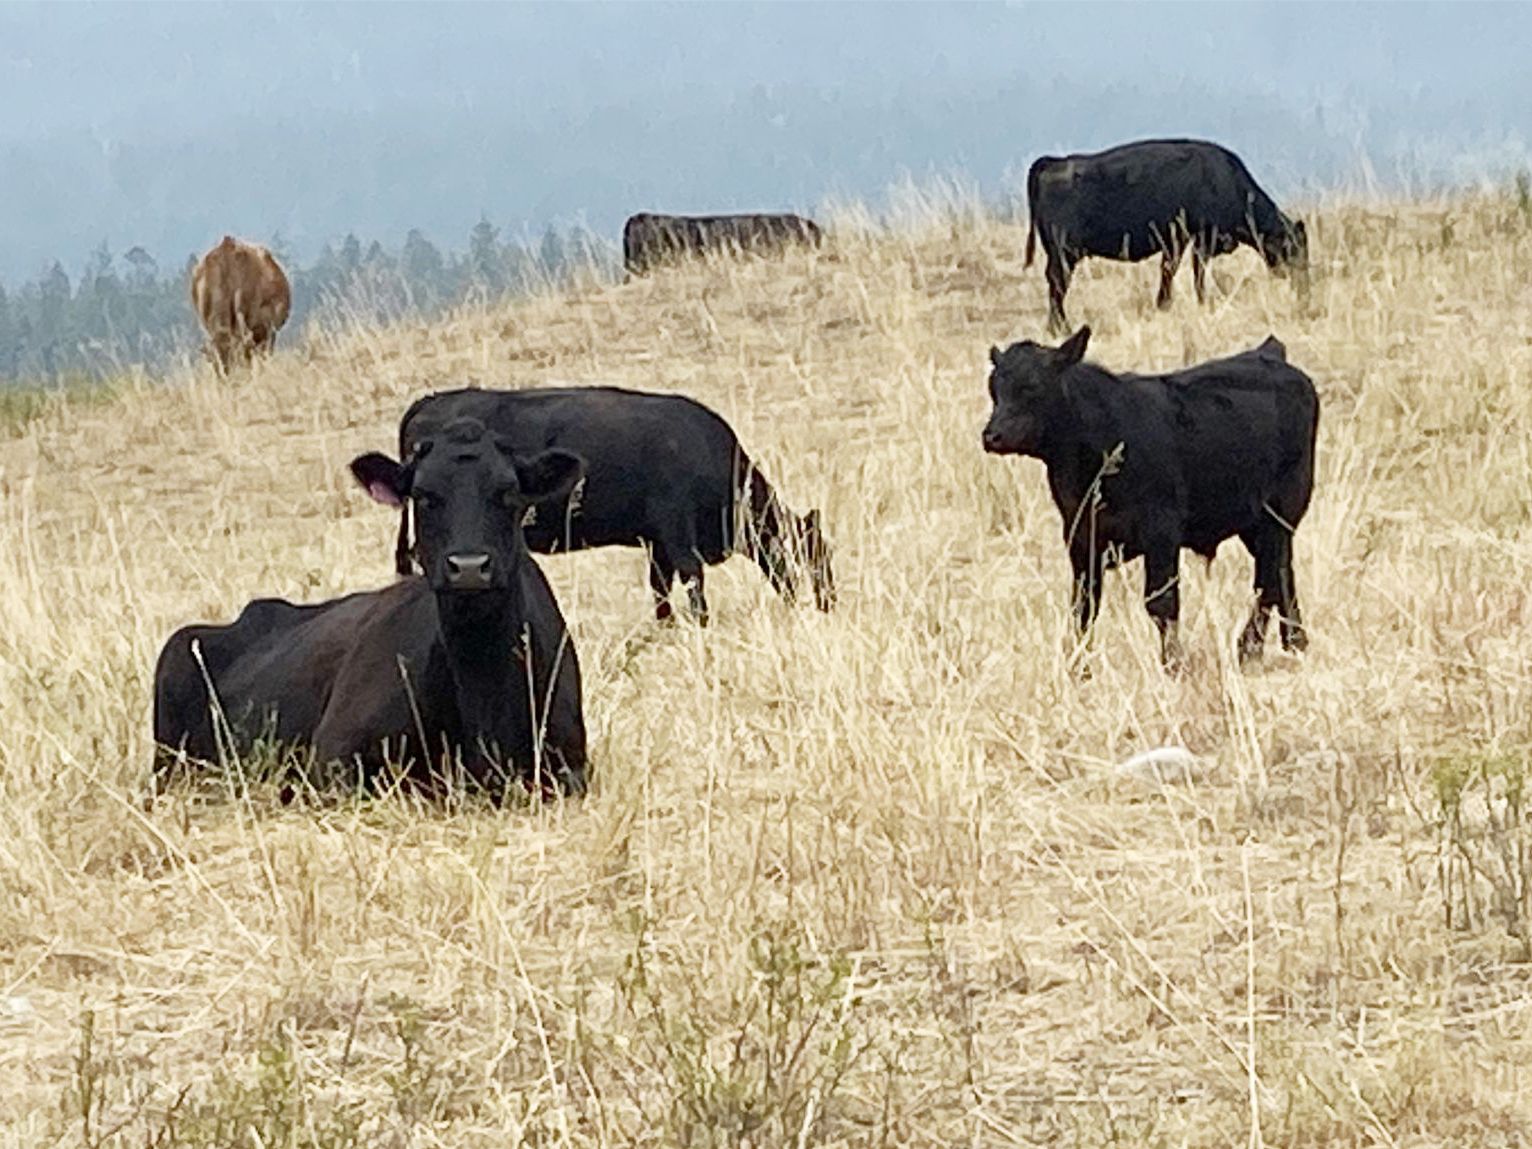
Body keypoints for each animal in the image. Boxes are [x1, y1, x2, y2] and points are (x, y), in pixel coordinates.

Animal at [395, 386, 834, 624]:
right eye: (818, 558)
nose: (828, 604)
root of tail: (428, 401)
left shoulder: (657, 541)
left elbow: (659, 588)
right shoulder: (677, 531)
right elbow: (693, 583)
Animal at [981, 326, 1319, 670]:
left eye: (1032, 387)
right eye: (994, 389)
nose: (992, 435)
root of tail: (1268, 354)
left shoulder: (1161, 534)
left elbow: (1161, 603)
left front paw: (1174, 664)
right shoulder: (1082, 538)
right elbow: (1084, 607)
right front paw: (1080, 668)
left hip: (1281, 510)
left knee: (1270, 577)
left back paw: (1250, 646)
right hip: (1256, 523)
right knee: (1281, 572)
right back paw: (1293, 641)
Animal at [1023, 139, 1309, 330]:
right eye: (1294, 247)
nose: (1303, 283)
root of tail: (1053, 162)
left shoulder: (1183, 238)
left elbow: (1174, 270)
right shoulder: (1196, 237)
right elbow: (1189, 271)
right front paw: (1189, 303)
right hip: (1064, 252)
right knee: (1058, 283)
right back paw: (1061, 327)